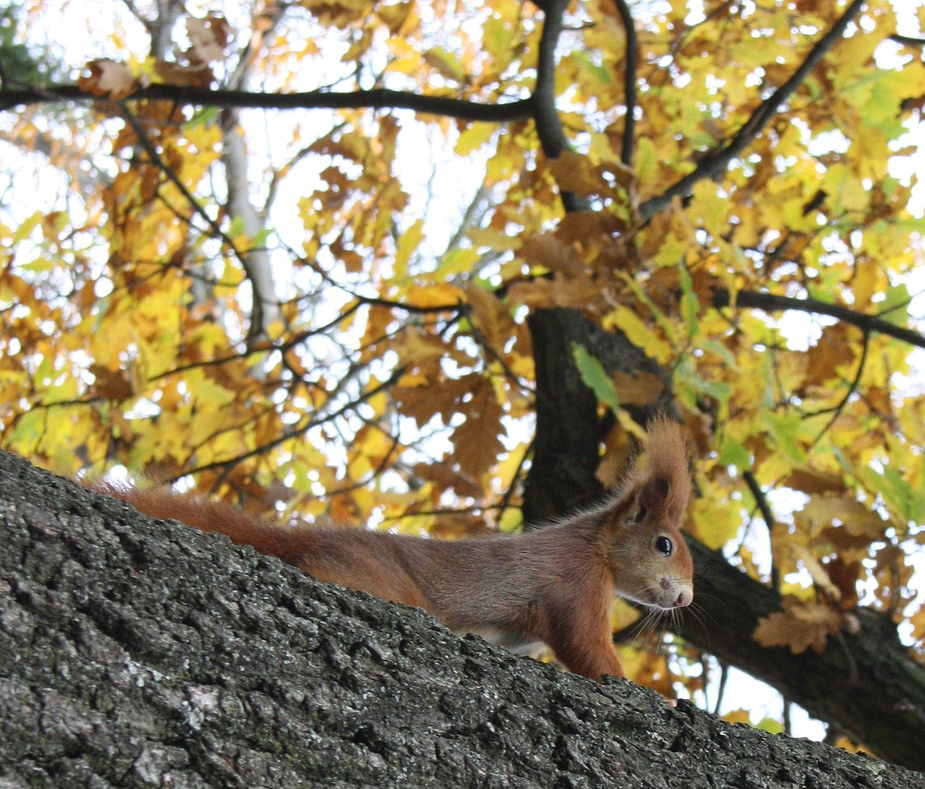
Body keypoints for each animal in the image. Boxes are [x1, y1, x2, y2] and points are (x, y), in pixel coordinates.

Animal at [92, 416, 692, 680]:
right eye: (663, 544)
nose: (686, 599)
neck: (596, 545)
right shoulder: (574, 583)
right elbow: (588, 649)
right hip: (375, 576)